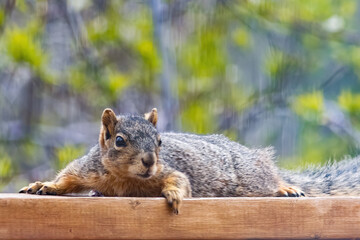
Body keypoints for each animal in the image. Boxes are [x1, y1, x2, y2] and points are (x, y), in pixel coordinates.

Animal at [19, 108, 360, 213]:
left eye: (160, 141)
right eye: (119, 141)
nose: (149, 161)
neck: (126, 181)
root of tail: (254, 157)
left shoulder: (169, 170)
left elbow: (180, 181)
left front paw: (172, 195)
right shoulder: (90, 168)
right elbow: (67, 178)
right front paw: (43, 186)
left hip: (252, 178)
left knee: (269, 180)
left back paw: (285, 187)